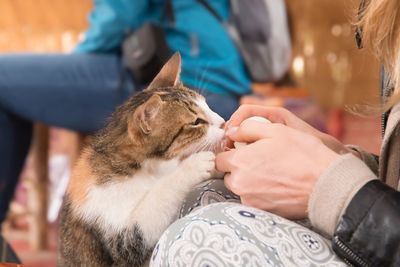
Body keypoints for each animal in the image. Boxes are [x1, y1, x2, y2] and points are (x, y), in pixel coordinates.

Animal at [57, 53, 225, 266]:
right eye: (196, 122)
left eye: (207, 106)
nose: (224, 122)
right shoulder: (122, 242)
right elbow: (154, 206)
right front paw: (194, 165)